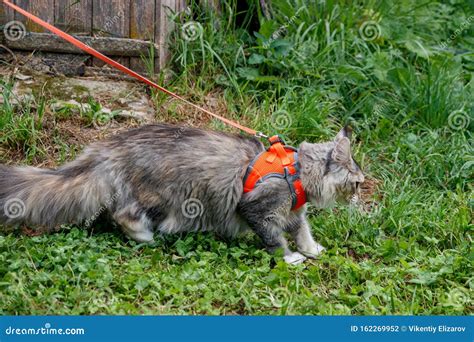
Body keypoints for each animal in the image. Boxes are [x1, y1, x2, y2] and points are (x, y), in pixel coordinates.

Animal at [0, 125, 364, 264]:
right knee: (124, 215)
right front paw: (290, 258)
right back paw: (145, 237)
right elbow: (276, 240)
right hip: (162, 197)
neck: (298, 172)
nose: (362, 192)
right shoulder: (258, 210)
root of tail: (109, 148)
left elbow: (303, 231)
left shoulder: (294, 213)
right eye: (358, 182)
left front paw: (312, 249)